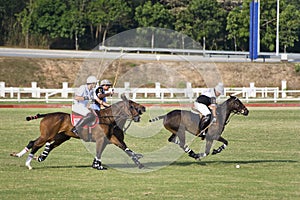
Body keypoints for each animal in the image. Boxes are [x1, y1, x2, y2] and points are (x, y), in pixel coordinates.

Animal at [11, 94, 146, 170]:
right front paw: (97, 166)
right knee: (34, 143)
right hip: (47, 135)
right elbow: (99, 152)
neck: (109, 119)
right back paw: (27, 162)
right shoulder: (101, 139)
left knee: (44, 145)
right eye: (132, 106)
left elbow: (126, 149)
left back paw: (33, 158)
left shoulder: (111, 139)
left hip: (61, 137)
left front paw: (139, 163)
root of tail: (47, 115)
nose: (143, 108)